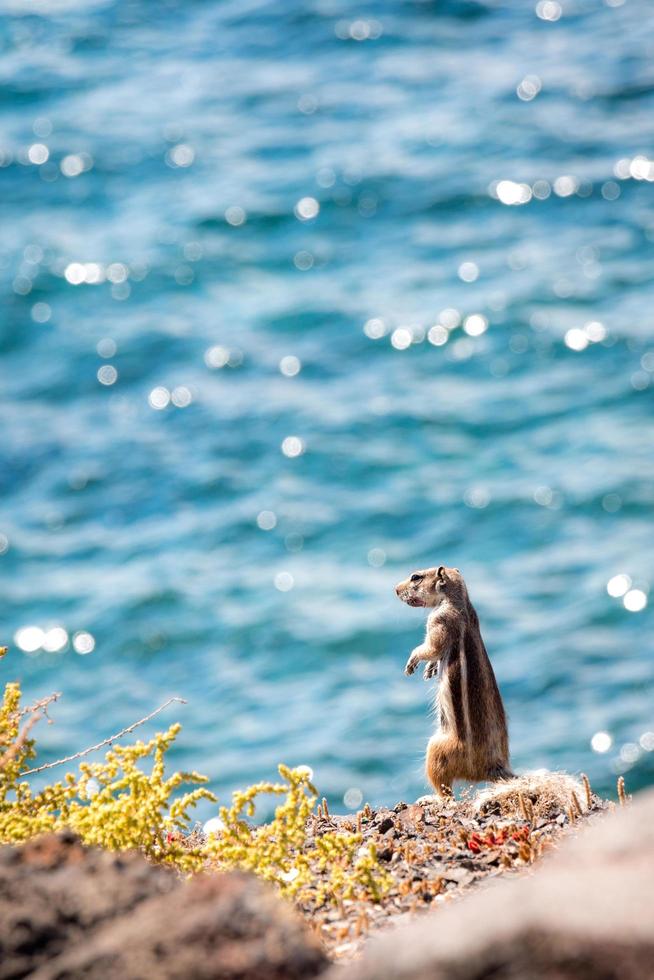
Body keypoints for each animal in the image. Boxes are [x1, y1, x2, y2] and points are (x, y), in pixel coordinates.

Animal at [398, 568, 516, 796]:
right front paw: (430, 669)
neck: (458, 600)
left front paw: (413, 661)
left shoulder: (439, 622)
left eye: (416, 577)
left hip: (436, 750)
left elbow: (430, 648)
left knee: (445, 791)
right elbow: (434, 654)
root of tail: (493, 767)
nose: (395, 590)